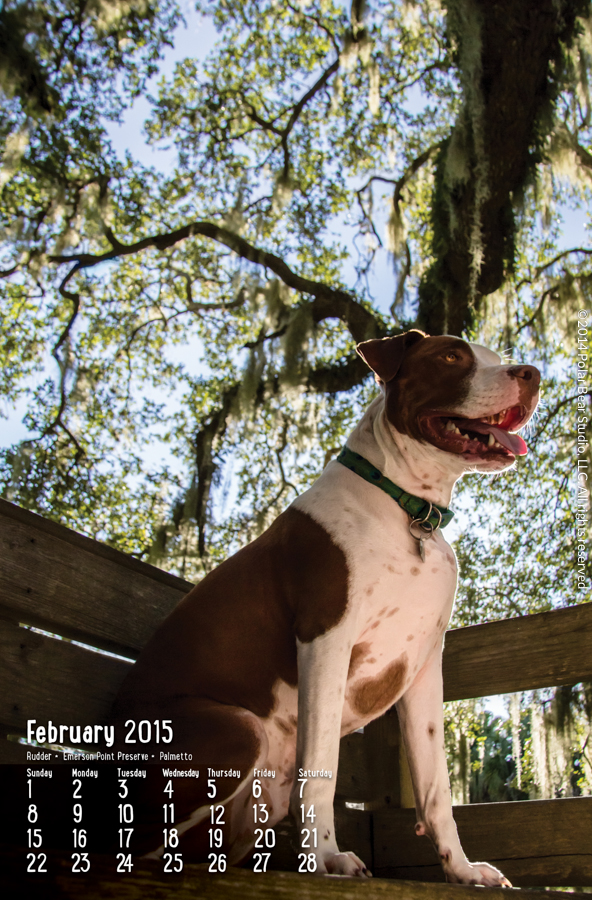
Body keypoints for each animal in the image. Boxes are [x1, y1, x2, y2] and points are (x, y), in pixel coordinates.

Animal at [112, 328, 540, 880]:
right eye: (451, 356)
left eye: (495, 357)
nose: (531, 373)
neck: (407, 506)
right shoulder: (325, 638)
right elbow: (321, 772)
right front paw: (325, 859)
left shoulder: (424, 666)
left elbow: (436, 787)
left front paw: (462, 871)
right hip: (235, 728)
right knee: (136, 841)